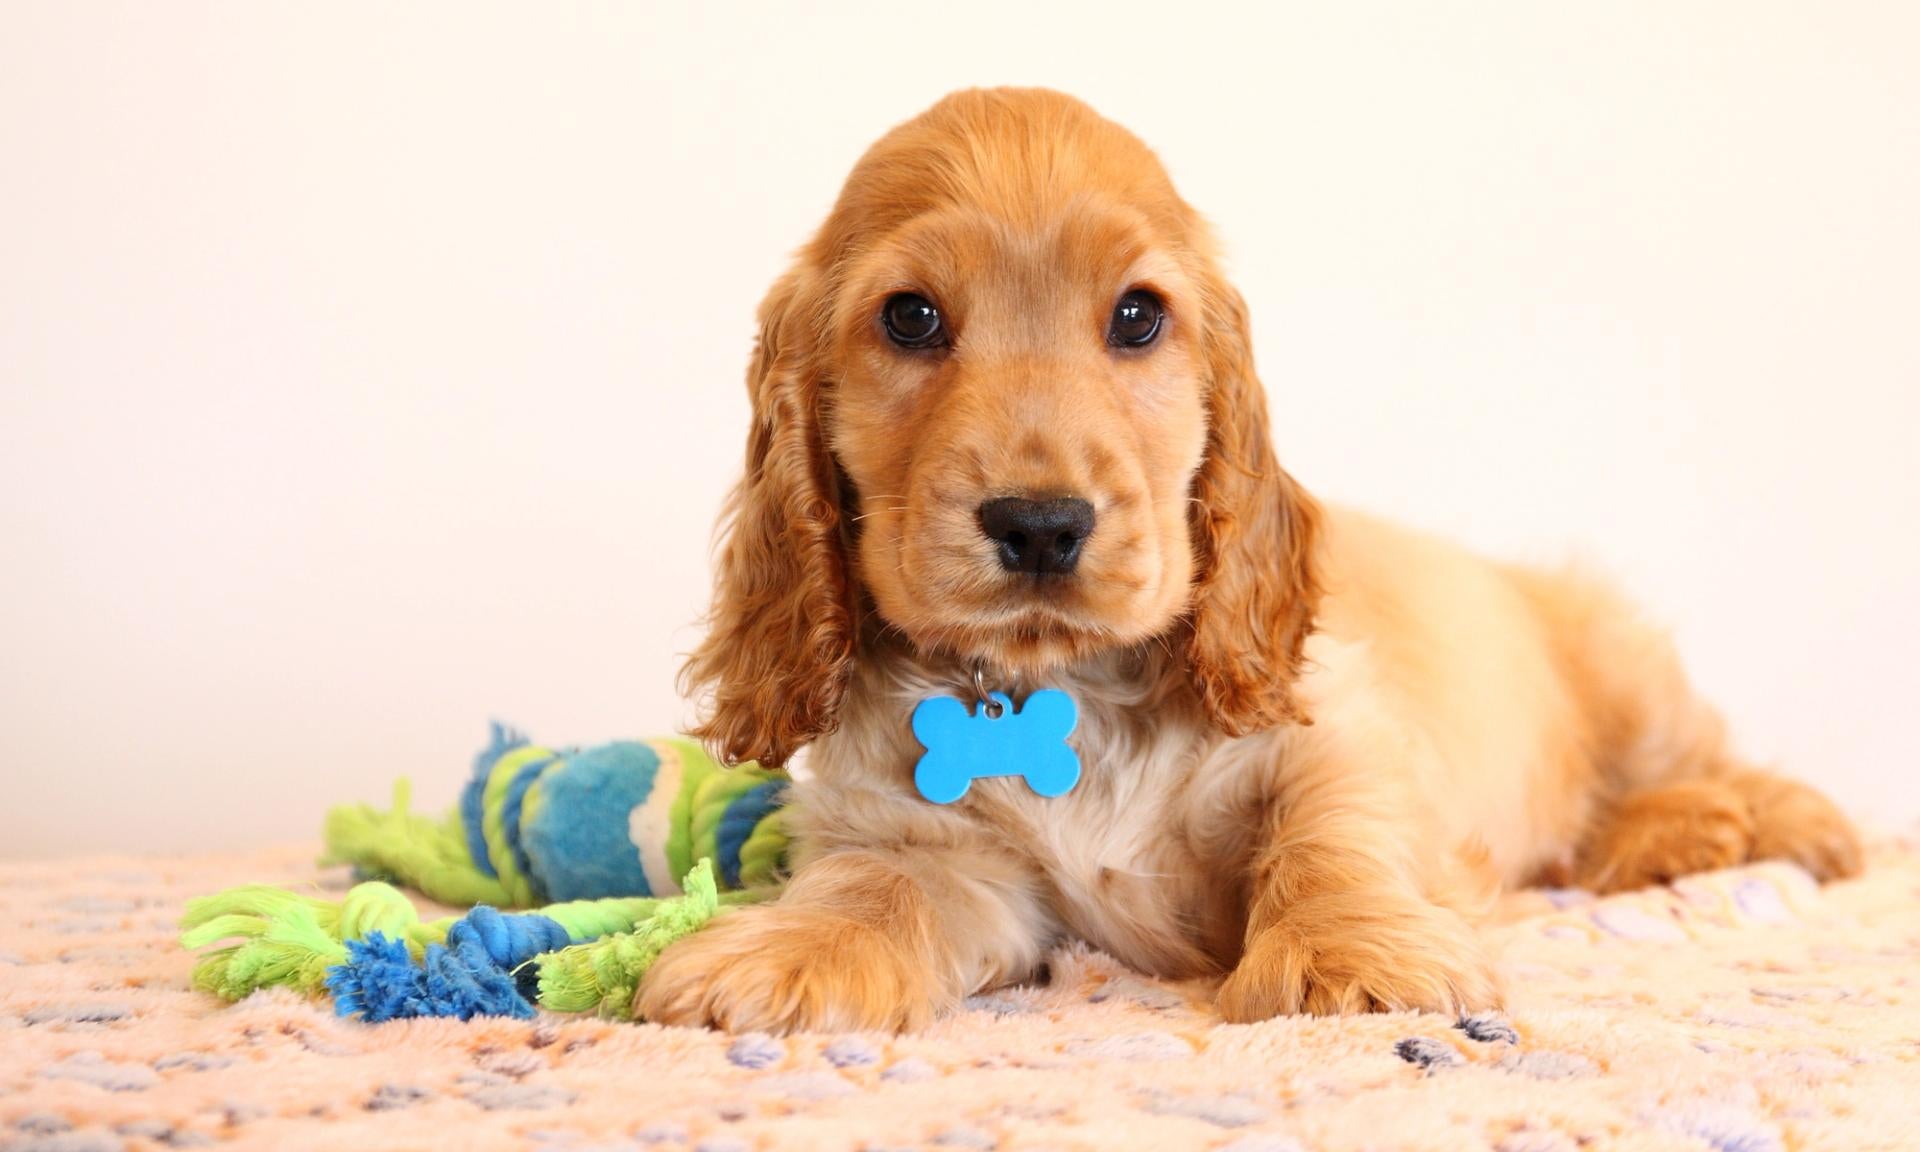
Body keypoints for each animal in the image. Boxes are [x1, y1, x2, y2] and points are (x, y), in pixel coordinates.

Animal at [637, 85, 1866, 1029]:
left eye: (1138, 316)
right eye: (909, 318)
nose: (1041, 524)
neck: (1065, 691)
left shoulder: (1338, 730)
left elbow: (1332, 832)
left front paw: (1352, 959)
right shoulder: (928, 843)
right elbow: (874, 887)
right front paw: (782, 956)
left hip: (1617, 657)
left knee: (1693, 758)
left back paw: (1758, 822)